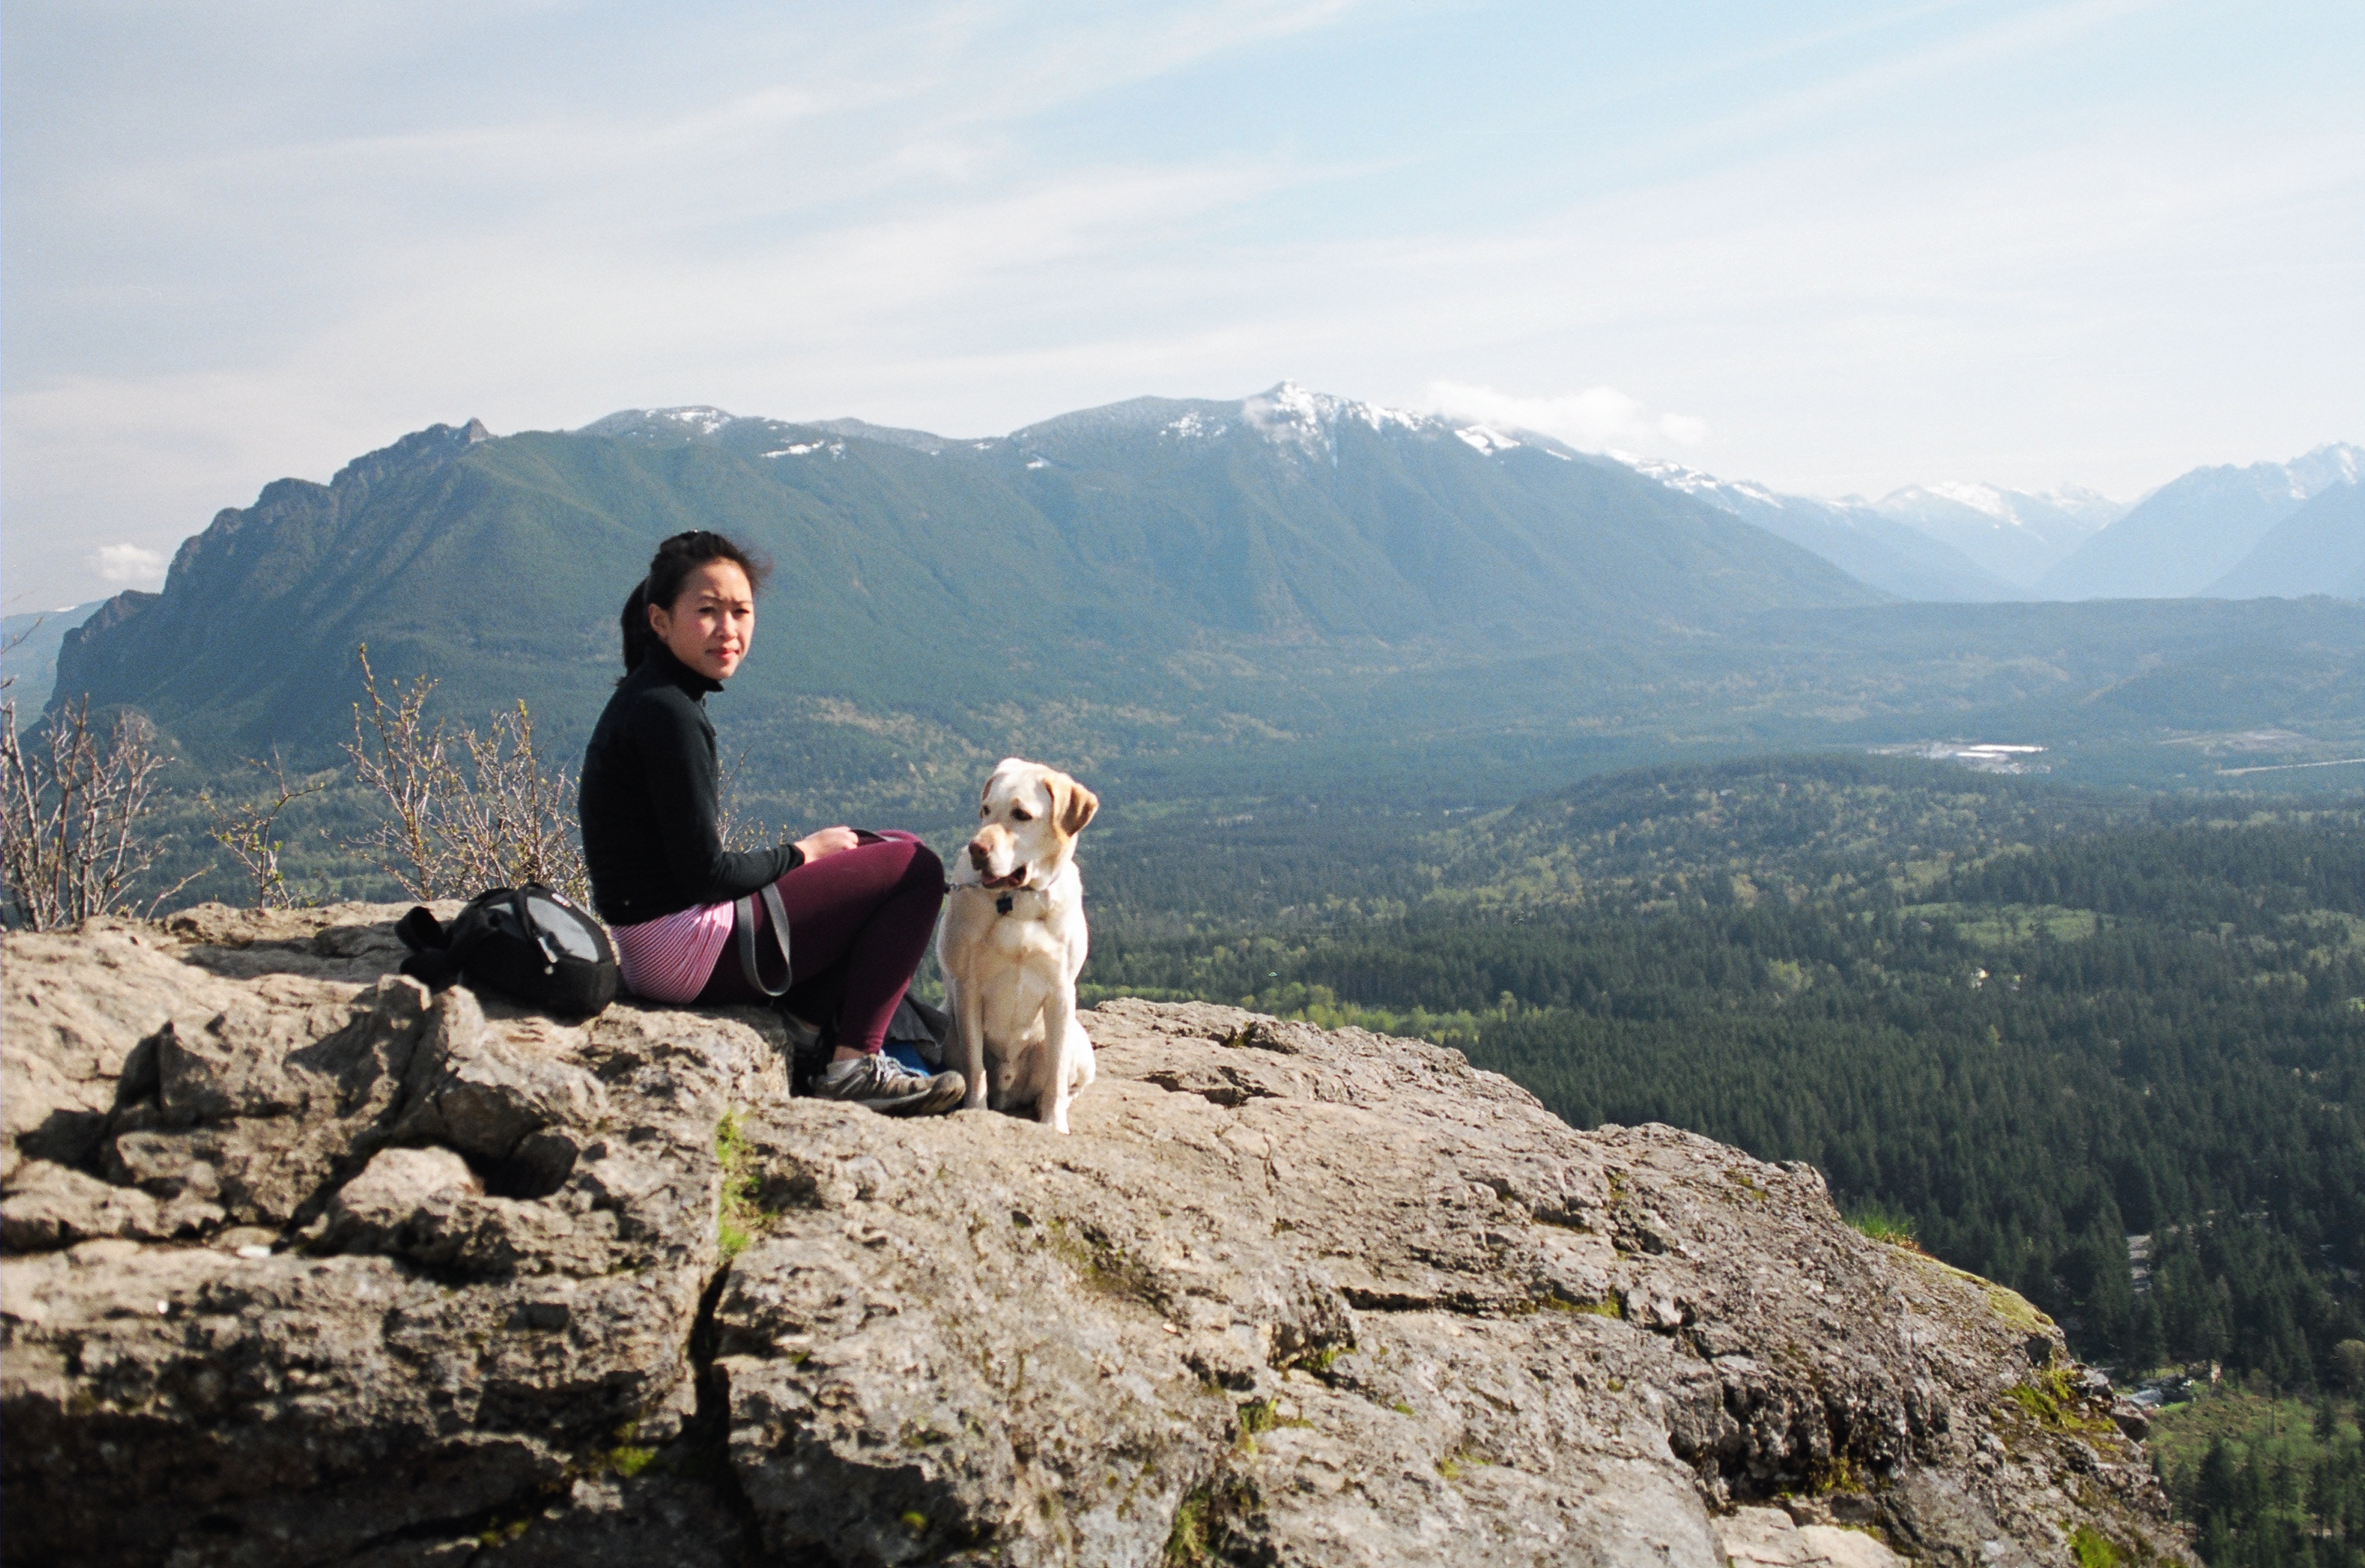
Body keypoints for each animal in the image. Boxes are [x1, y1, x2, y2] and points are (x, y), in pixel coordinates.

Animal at [931, 756, 1097, 1130]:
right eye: (986, 810)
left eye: (1022, 814)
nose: (977, 849)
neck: (1018, 900)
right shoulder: (968, 987)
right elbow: (974, 1065)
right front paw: (975, 1111)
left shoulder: (1062, 991)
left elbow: (1056, 1074)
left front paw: (1054, 1123)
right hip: (945, 1025)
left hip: (1079, 1042)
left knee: (1069, 1079)